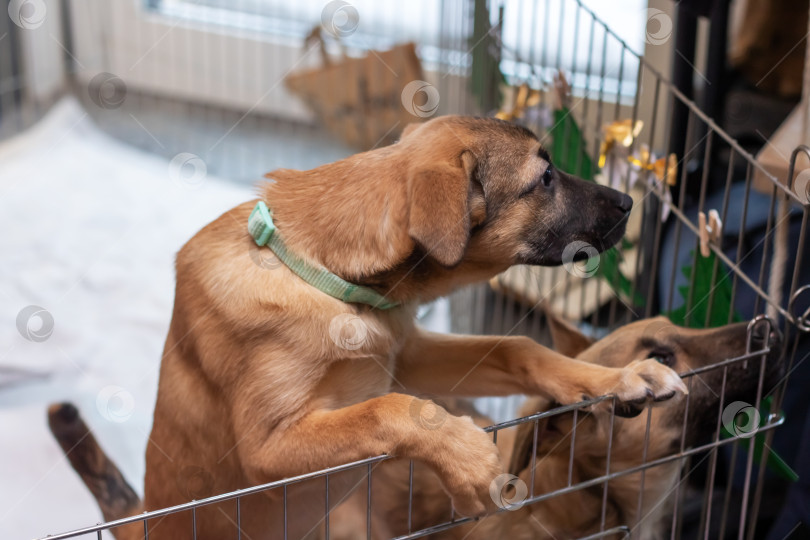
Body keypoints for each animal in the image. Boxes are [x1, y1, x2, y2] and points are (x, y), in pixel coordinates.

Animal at [47, 118, 684, 540]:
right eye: (546, 177)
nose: (629, 203)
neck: (327, 274)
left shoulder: (408, 353)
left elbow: (519, 346)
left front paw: (618, 377)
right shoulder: (266, 449)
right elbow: (389, 411)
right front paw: (468, 461)